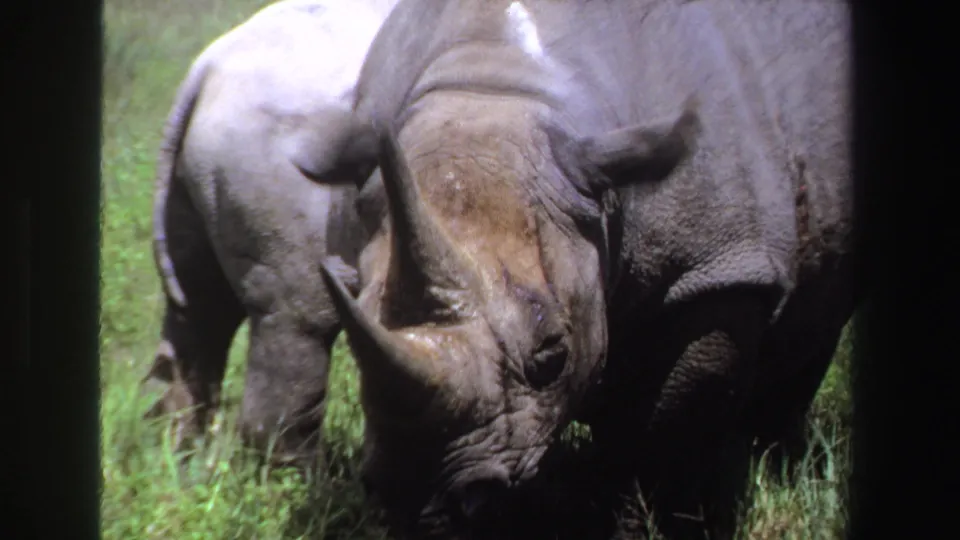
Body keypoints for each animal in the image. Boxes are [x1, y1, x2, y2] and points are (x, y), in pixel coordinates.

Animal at [141, 0, 398, 469]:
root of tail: (207, 69)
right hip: (276, 169)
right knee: (301, 315)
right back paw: (305, 475)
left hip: (198, 175)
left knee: (199, 308)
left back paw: (179, 460)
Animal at [319, 0, 856, 537]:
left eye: (553, 354)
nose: (418, 501)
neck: (495, 82)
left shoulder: (716, 271)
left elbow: (665, 438)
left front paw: (650, 524)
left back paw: (778, 465)